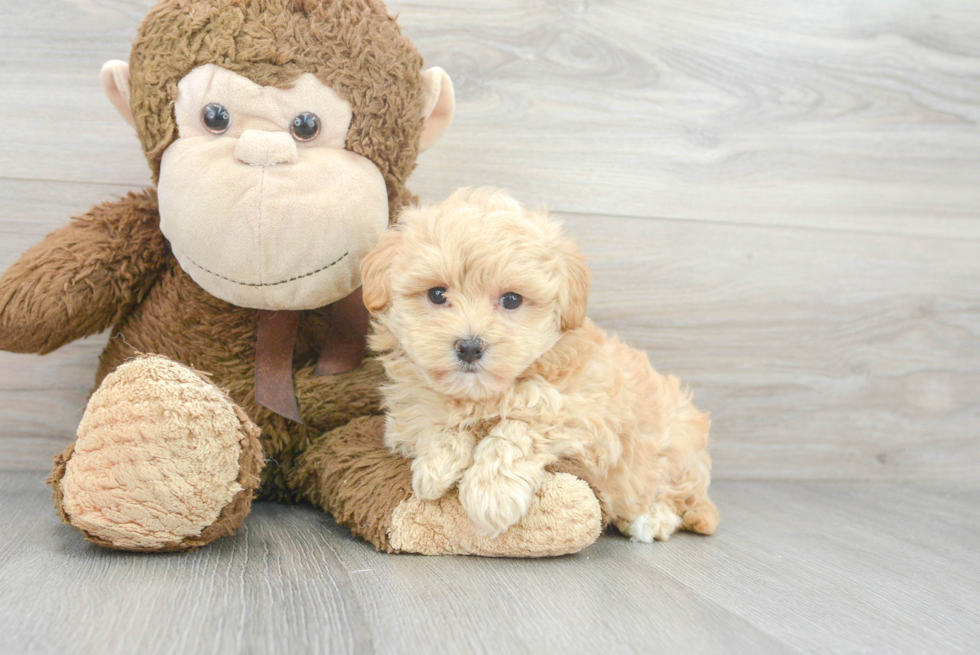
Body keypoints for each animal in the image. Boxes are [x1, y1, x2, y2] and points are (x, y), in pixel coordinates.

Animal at [364, 188, 716, 544]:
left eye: (512, 300)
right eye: (437, 294)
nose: (470, 347)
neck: (482, 396)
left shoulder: (589, 416)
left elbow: (523, 424)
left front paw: (492, 492)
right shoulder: (408, 415)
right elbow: (433, 423)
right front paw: (436, 467)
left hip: (675, 452)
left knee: (677, 500)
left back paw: (650, 519)